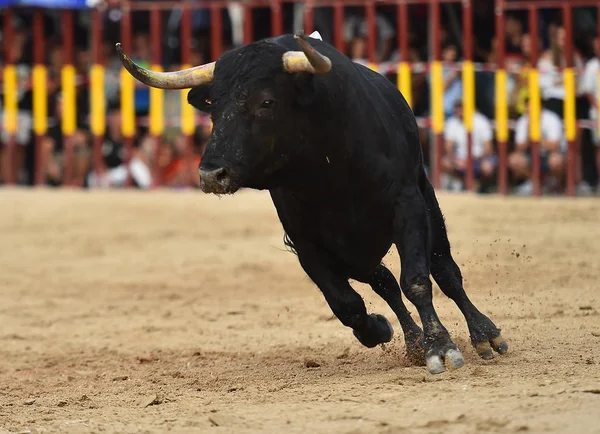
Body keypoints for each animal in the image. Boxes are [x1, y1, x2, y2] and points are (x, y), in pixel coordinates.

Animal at [116, 32, 506, 374]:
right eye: (214, 110)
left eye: (267, 102)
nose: (211, 174)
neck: (329, 170)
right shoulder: (306, 242)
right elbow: (347, 304)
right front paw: (382, 330)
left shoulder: (407, 205)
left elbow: (417, 280)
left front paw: (441, 347)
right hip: (357, 253)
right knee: (384, 283)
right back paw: (413, 342)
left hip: (425, 204)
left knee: (445, 271)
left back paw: (484, 335)